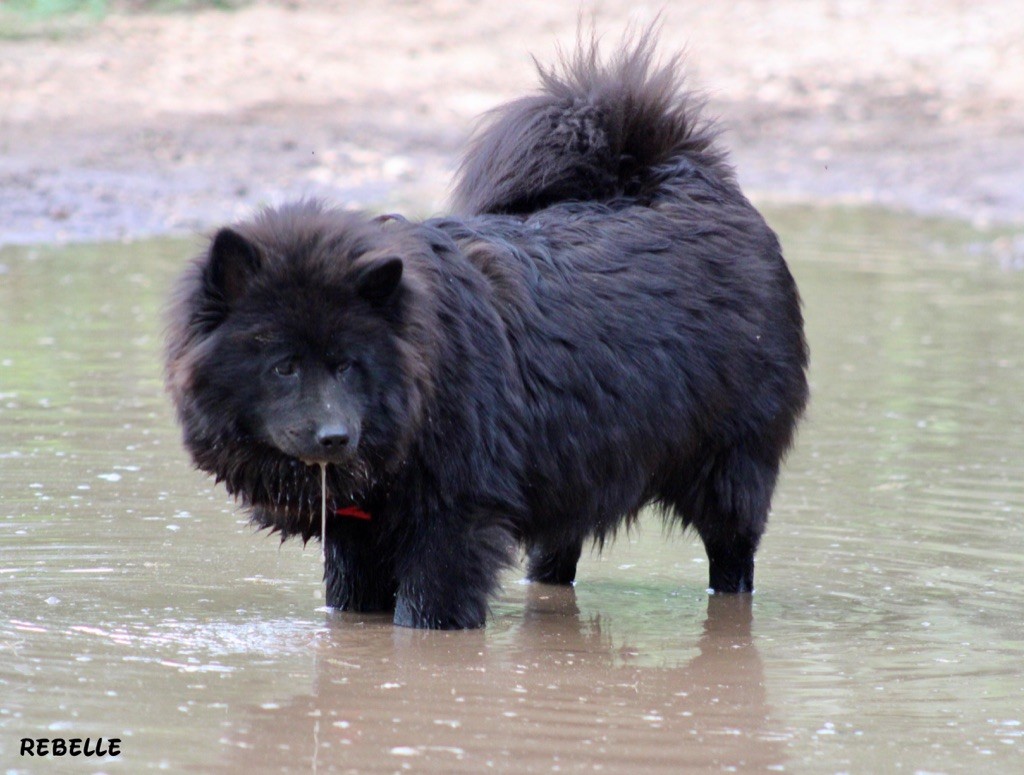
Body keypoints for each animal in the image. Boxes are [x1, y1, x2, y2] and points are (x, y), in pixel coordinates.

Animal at [165, 34, 806, 630]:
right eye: (283, 365)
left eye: (347, 364)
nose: (334, 437)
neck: (424, 385)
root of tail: (689, 177)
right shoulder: (357, 538)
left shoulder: (453, 524)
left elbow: (424, 617)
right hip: (575, 474)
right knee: (555, 560)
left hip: (730, 472)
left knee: (732, 560)